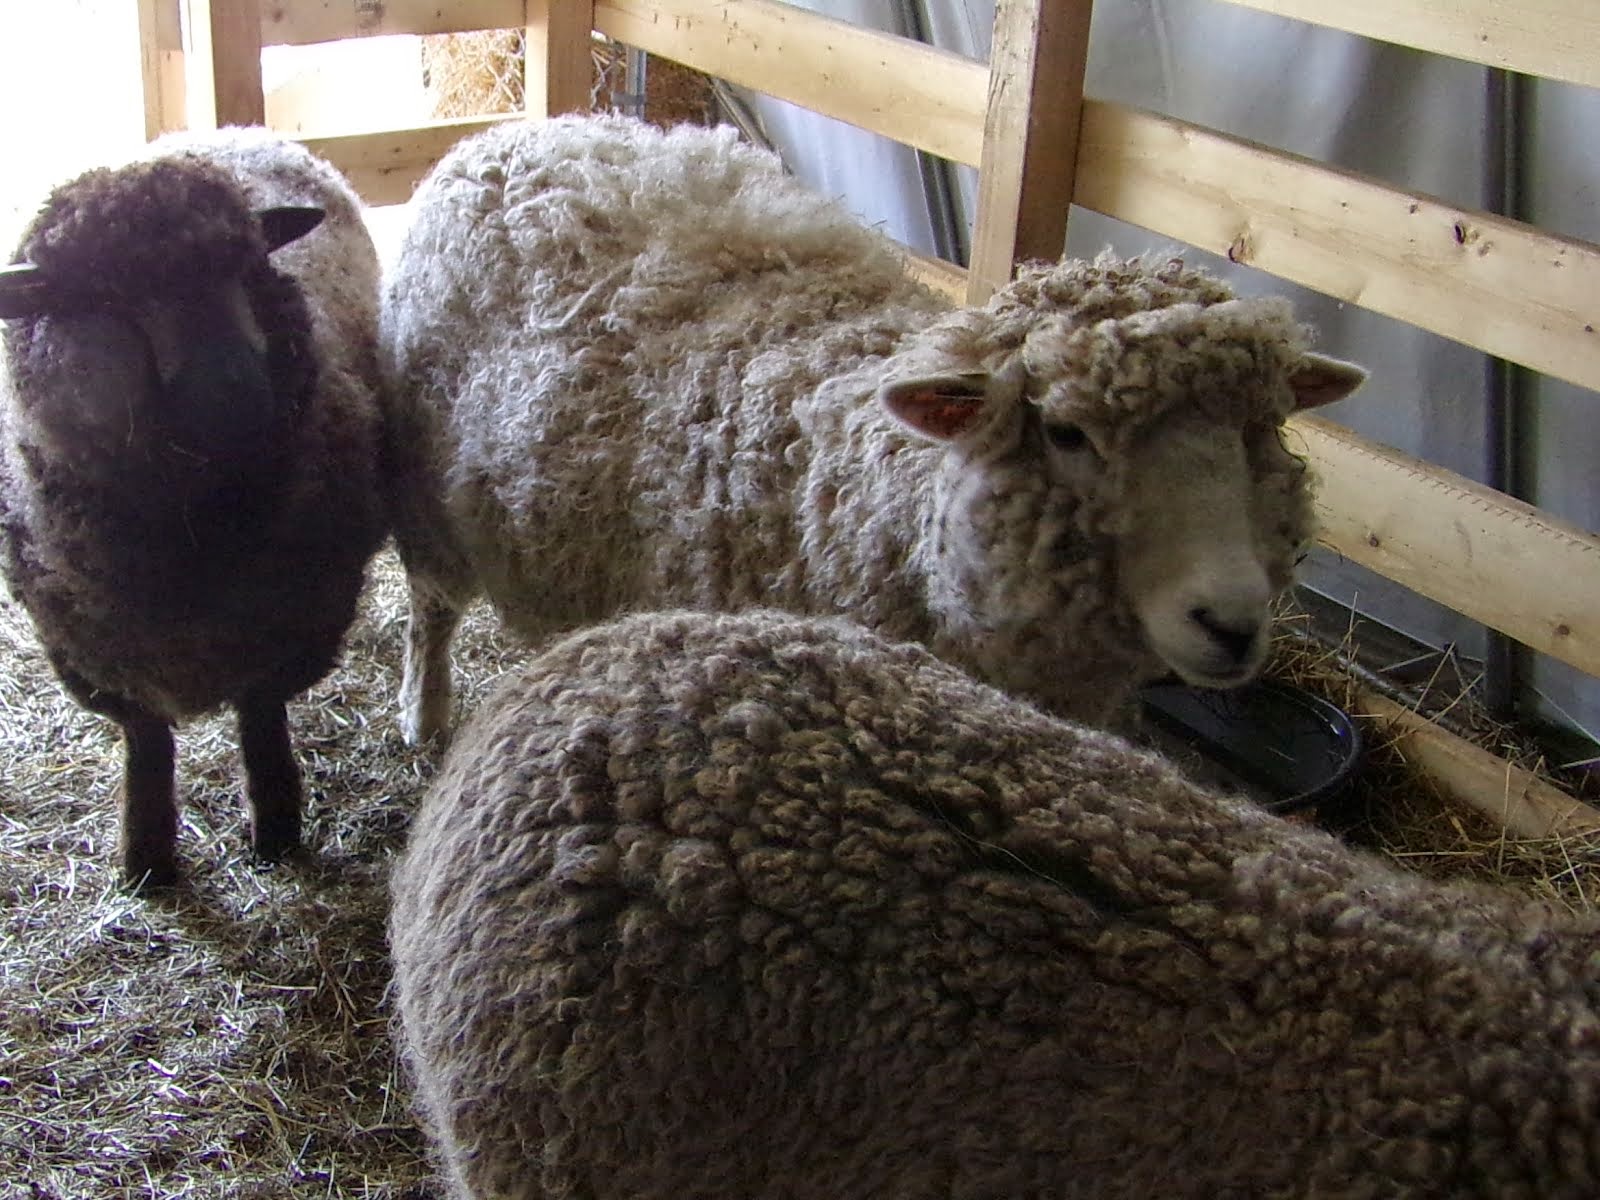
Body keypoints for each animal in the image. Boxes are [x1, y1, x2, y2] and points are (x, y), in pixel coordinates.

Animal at [0, 127, 387, 889]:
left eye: (246, 266)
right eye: (106, 294)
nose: (237, 400)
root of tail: (226, 131)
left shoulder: (297, 617)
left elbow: (261, 714)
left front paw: (277, 828)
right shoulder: (87, 648)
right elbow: (145, 739)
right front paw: (146, 854)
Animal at [377, 117, 1363, 748]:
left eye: (1263, 429)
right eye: (1065, 433)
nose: (1232, 622)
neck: (866, 492)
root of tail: (507, 133)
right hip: (423, 493)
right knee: (432, 606)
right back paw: (423, 716)